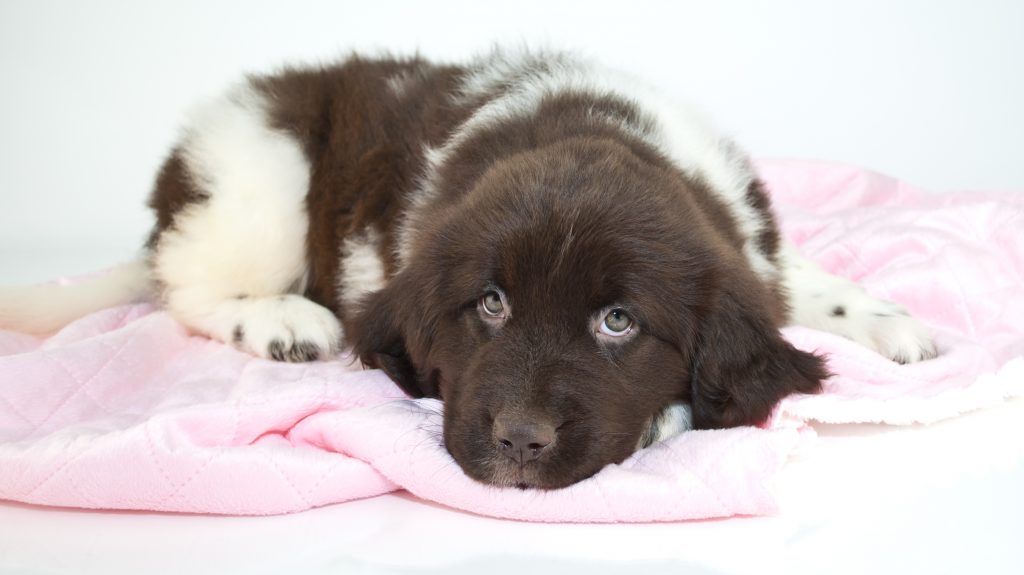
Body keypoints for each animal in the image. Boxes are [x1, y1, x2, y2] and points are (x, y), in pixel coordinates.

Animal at [0, 50, 937, 487]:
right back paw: (283, 319)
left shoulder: (745, 239)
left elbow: (797, 284)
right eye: (489, 304)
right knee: (186, 283)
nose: (519, 441)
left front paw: (898, 326)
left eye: (619, 321)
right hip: (261, 171)